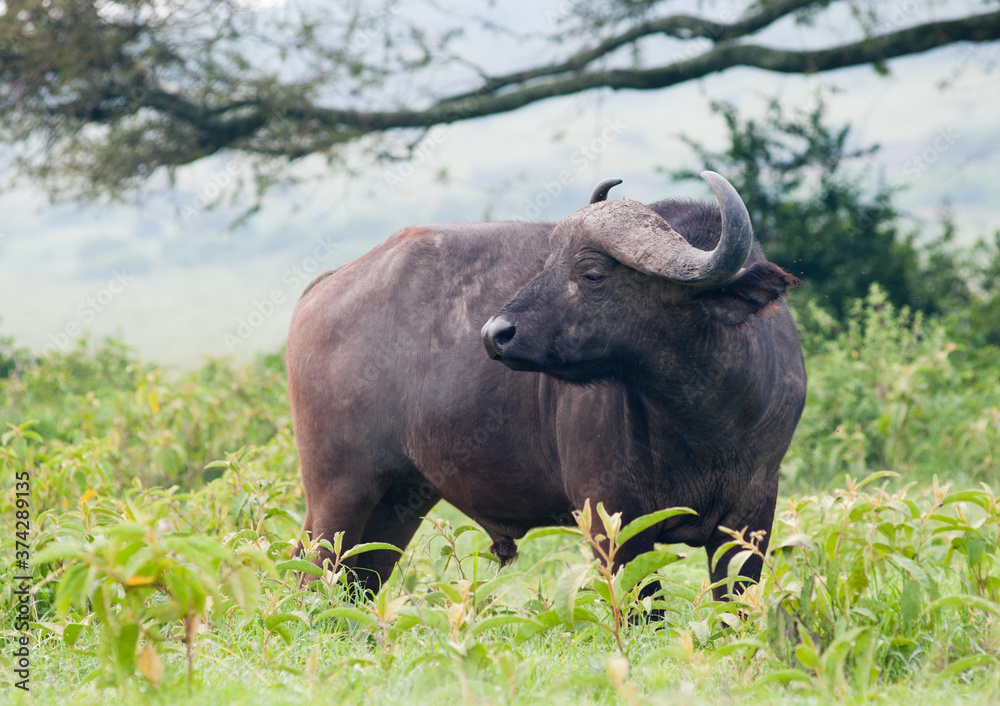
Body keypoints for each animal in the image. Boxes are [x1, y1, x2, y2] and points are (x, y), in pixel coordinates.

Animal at [288, 170, 804, 600]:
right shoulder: (610, 517)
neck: (702, 419)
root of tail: (323, 288)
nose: (494, 334)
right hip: (338, 490)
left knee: (360, 579)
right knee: (312, 571)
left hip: (398, 498)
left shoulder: (753, 516)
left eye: (592, 273)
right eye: (549, 262)